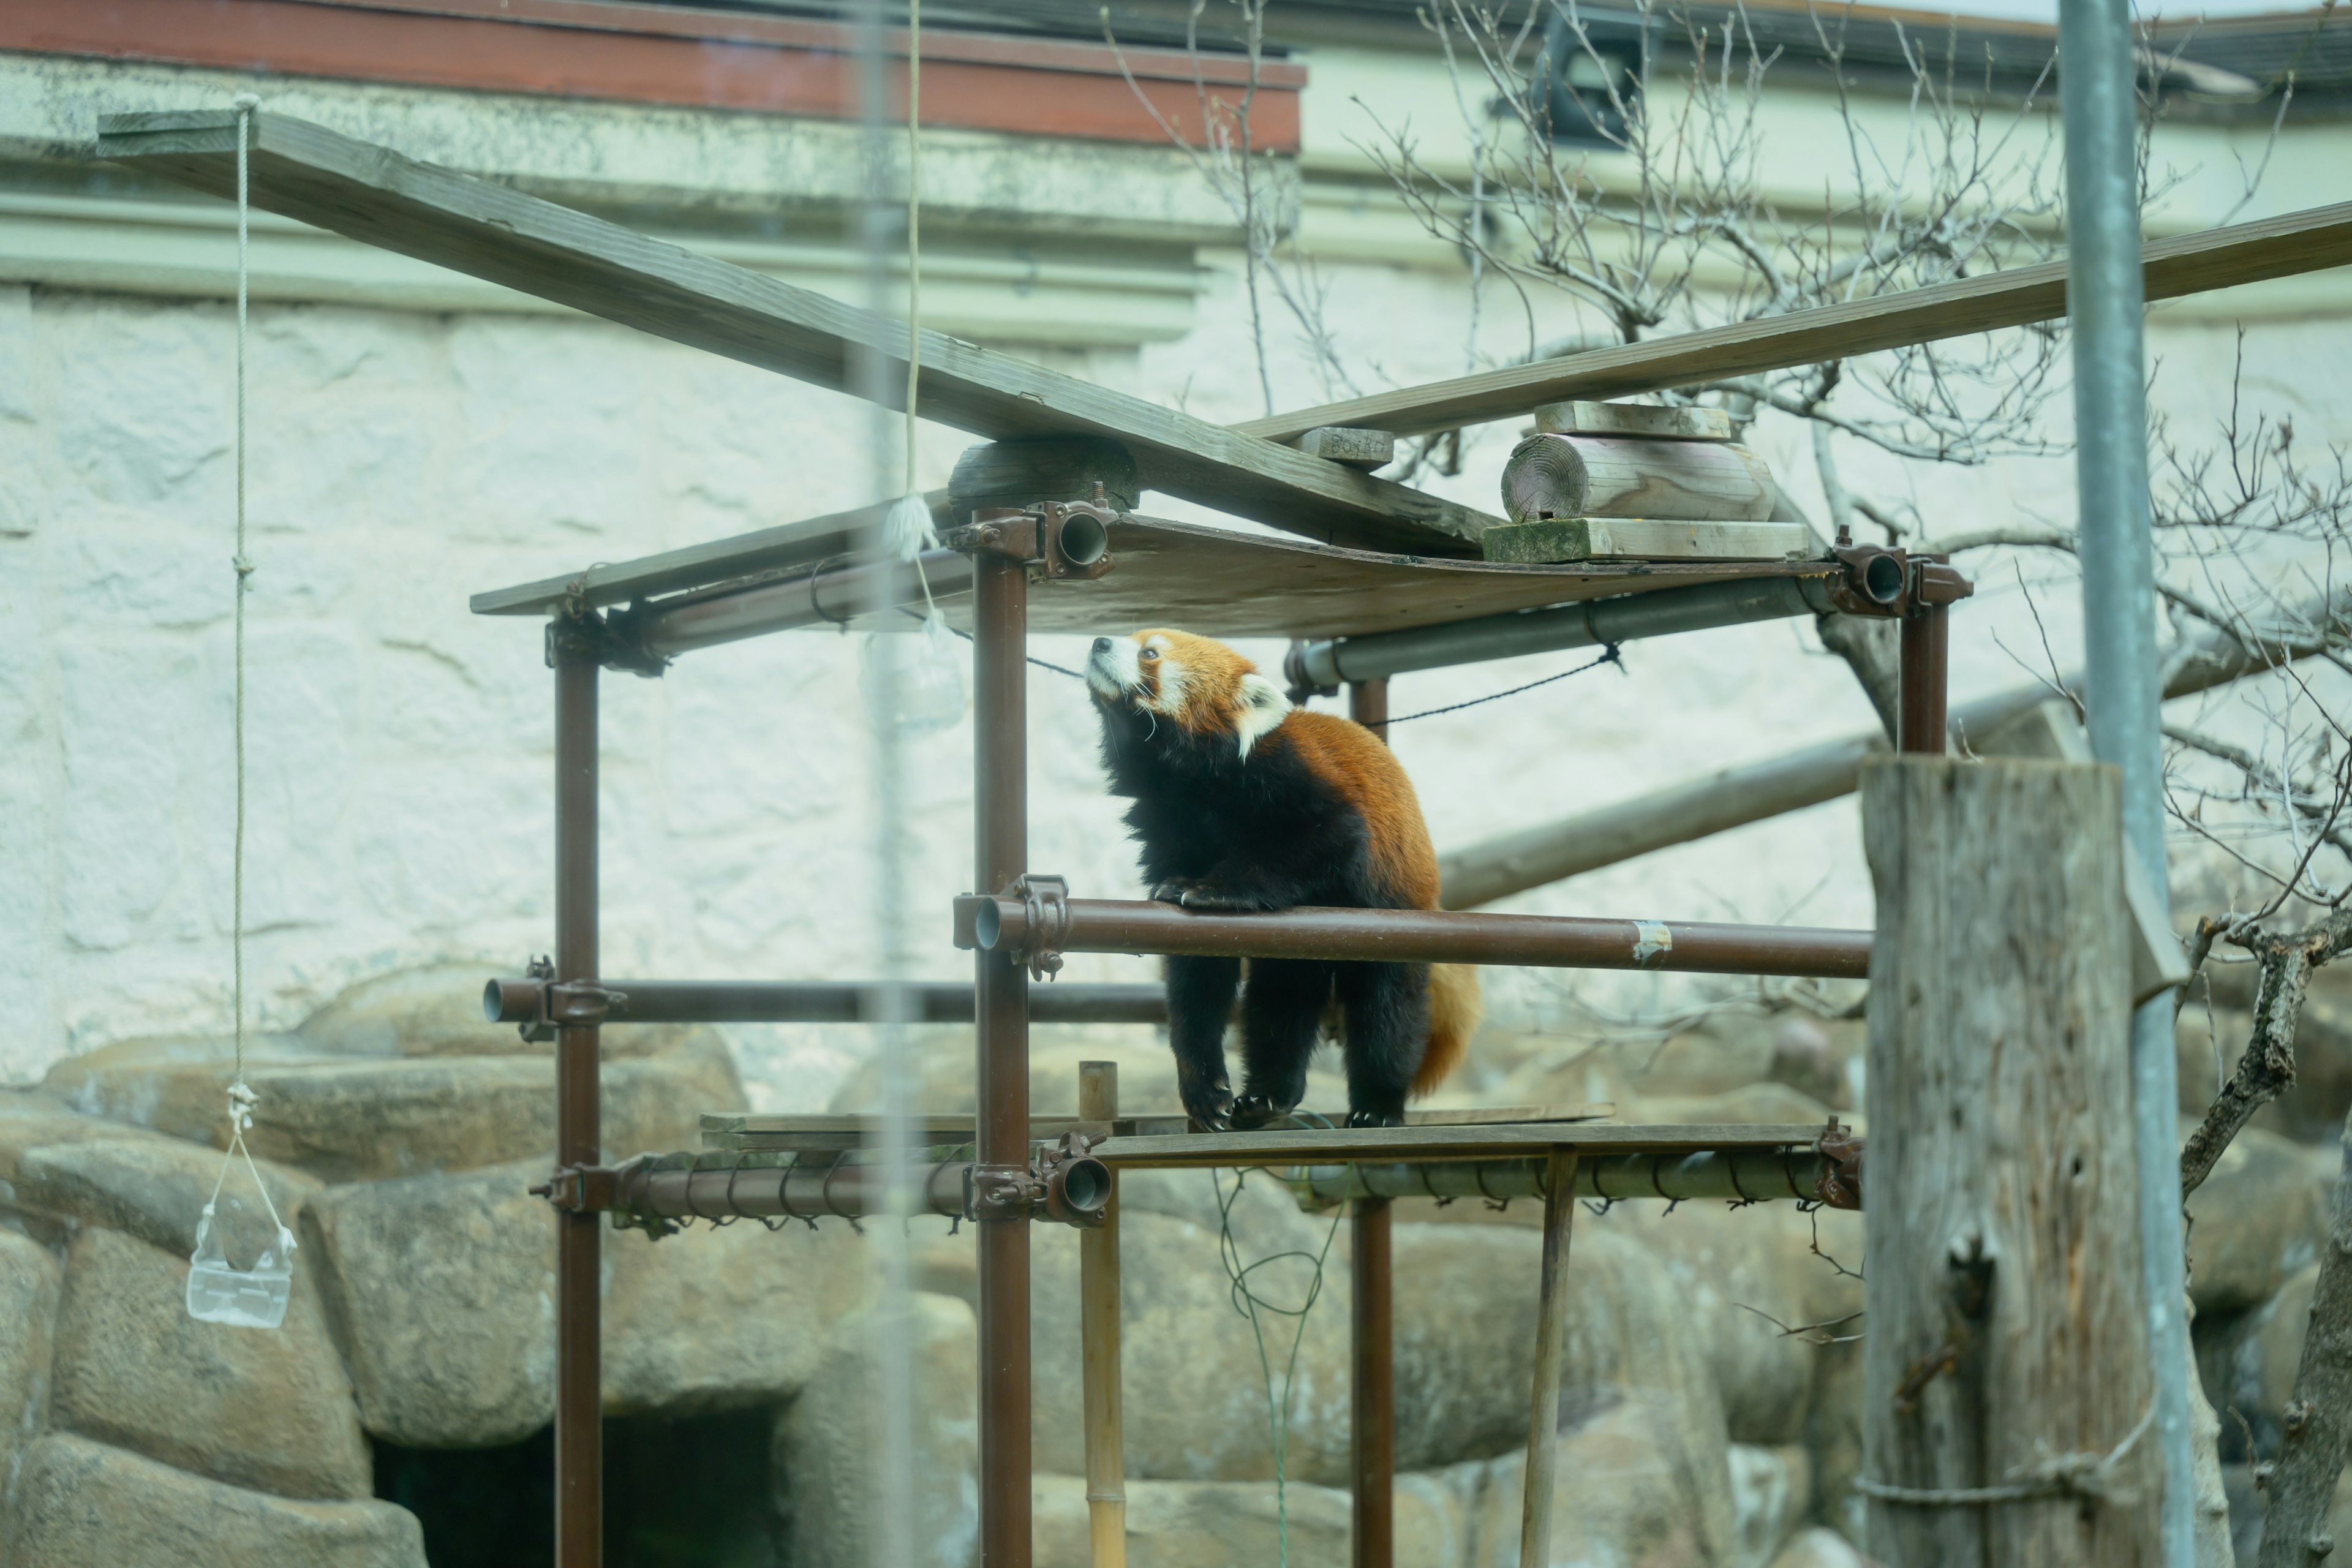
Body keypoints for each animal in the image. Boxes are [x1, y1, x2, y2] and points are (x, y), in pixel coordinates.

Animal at [1077, 625, 1477, 1128]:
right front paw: (1204, 1089)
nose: (1099, 643)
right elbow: (1196, 984)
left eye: (1149, 653)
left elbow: (1319, 841)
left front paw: (1211, 889)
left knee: (1386, 1011)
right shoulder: (1166, 824)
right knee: (1282, 1001)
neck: (1188, 781)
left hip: (1398, 915)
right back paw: (1269, 1097)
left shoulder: (1294, 782)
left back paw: (1378, 1106)